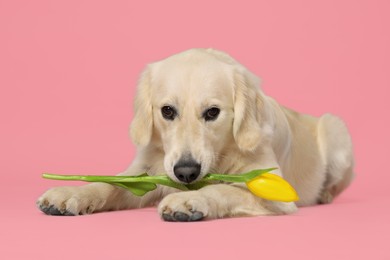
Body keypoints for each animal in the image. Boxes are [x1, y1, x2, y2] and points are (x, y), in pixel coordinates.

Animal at [36, 47, 354, 220]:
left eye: (212, 112)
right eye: (167, 111)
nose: (186, 172)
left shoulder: (274, 191)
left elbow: (223, 188)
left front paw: (189, 202)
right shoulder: (145, 172)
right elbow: (109, 184)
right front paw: (70, 193)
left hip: (336, 130)